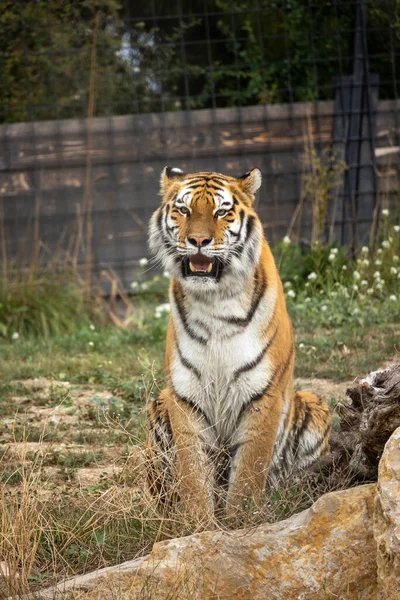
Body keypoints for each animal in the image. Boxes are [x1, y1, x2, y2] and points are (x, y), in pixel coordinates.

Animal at [145, 166, 330, 524]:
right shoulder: (184, 395)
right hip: (158, 407)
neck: (214, 301)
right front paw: (198, 526)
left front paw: (239, 524)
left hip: (314, 407)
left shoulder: (262, 393)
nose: (198, 241)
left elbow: (247, 474)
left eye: (221, 211)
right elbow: (193, 473)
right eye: (184, 210)